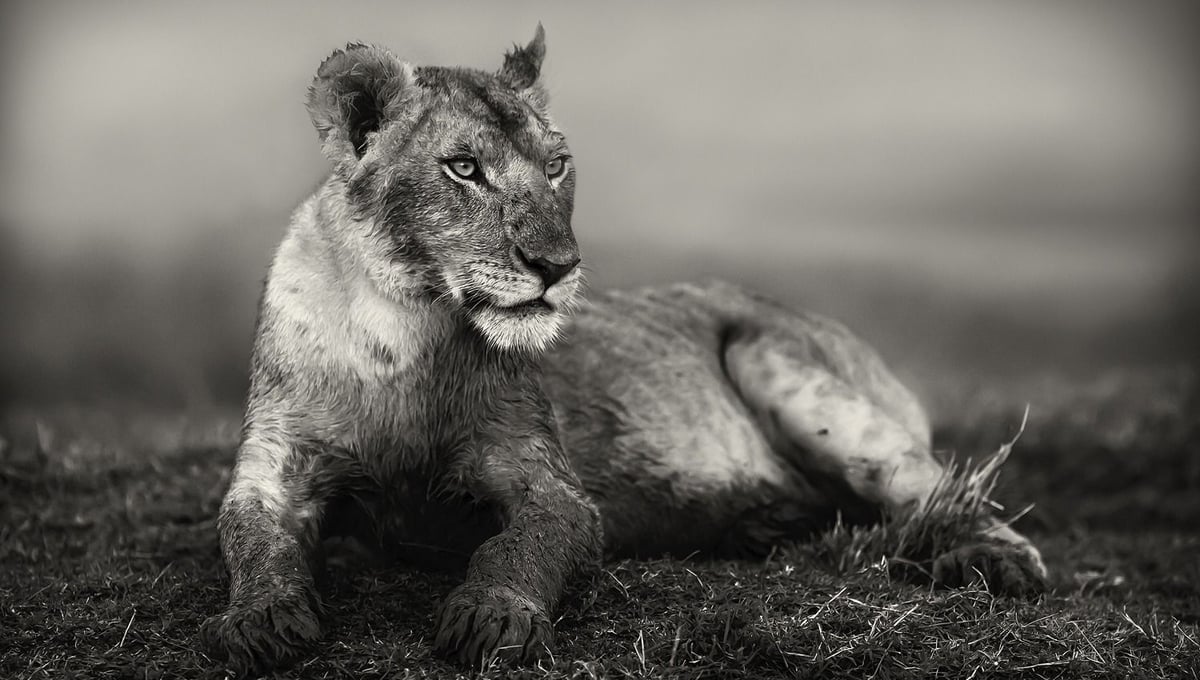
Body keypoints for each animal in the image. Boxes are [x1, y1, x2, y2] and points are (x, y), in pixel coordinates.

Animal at [201, 26, 1047, 675]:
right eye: (464, 168)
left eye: (555, 166)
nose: (557, 266)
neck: (399, 333)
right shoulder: (271, 474)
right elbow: (250, 542)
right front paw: (261, 621)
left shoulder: (550, 484)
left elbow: (517, 549)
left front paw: (491, 617)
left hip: (775, 359)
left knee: (939, 488)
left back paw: (995, 561)